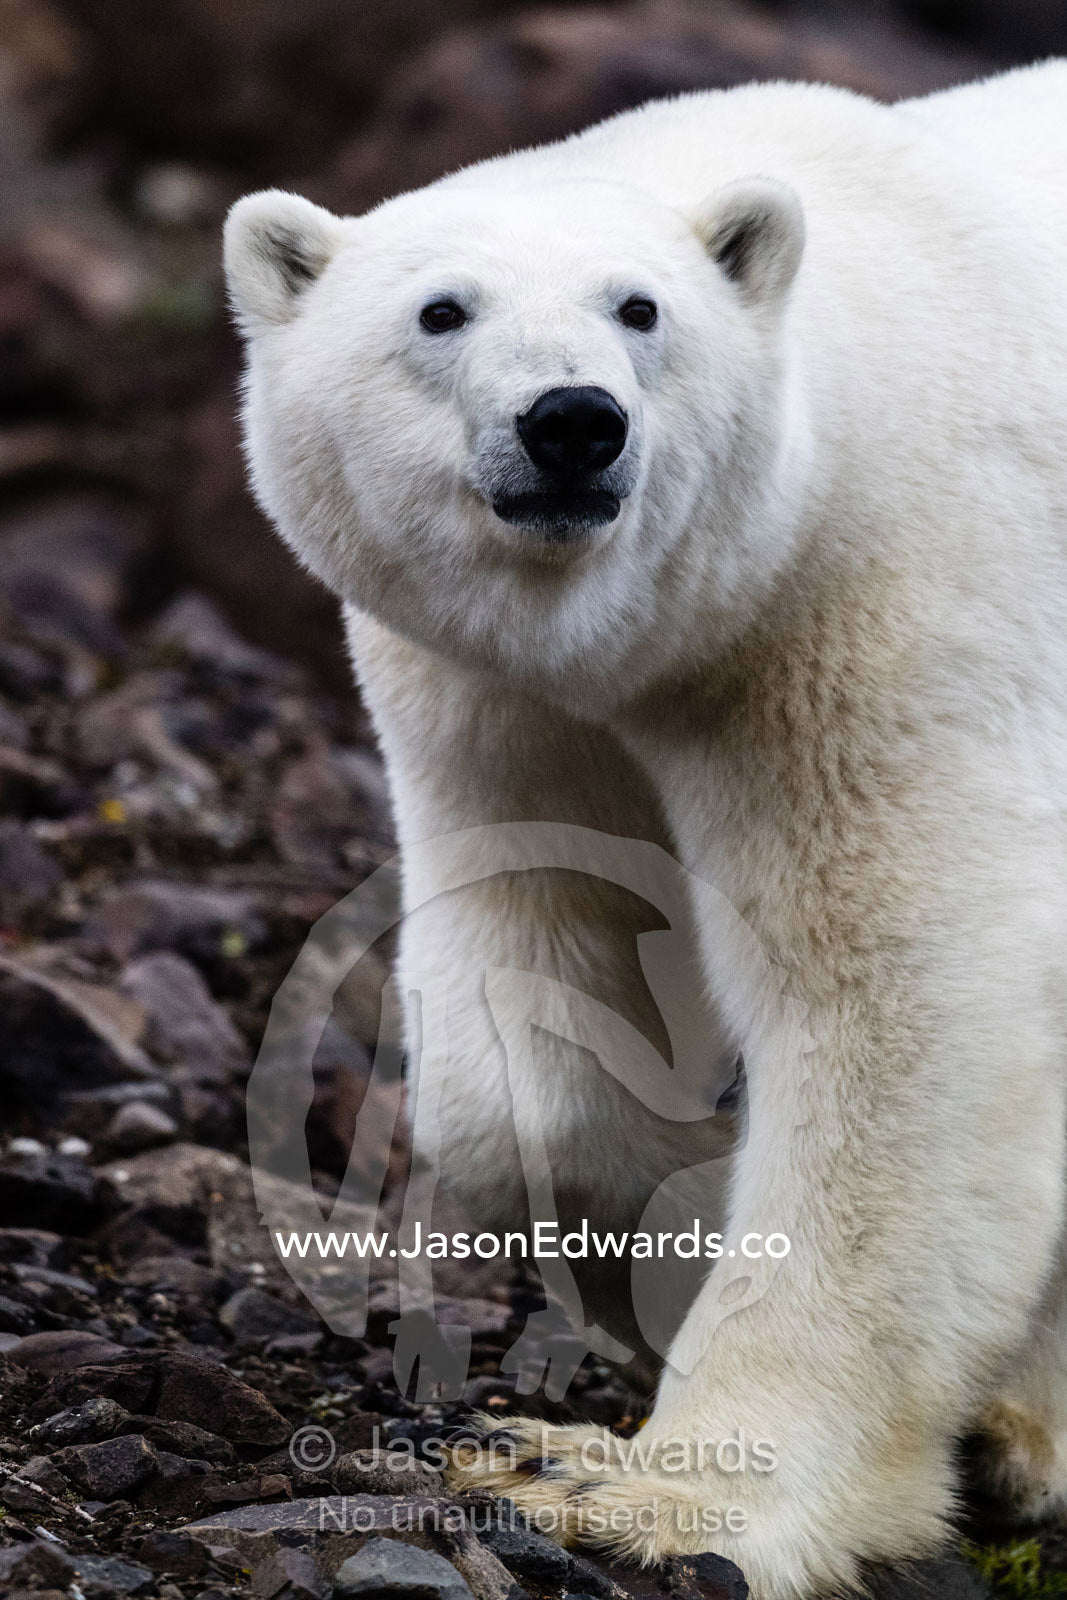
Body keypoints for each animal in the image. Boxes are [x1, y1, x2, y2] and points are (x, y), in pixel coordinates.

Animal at [224, 60, 1067, 1600]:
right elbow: (543, 988)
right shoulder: (501, 699)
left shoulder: (884, 609)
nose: (571, 421)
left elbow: (902, 1002)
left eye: (639, 308)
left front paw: (641, 1491)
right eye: (440, 312)